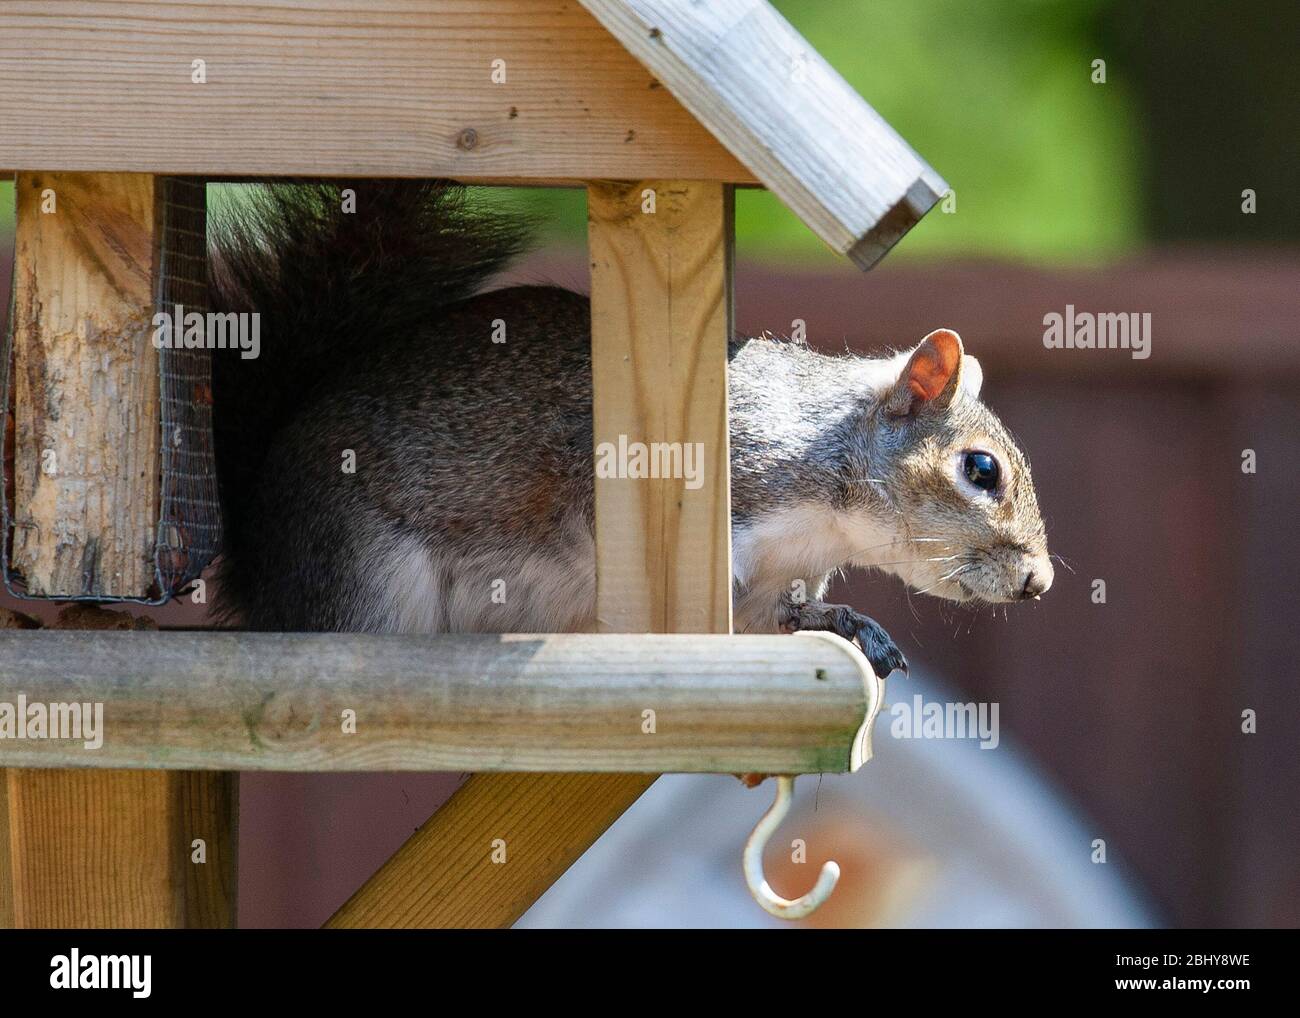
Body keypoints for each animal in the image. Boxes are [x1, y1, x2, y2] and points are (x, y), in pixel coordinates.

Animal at [208, 183, 1050, 681]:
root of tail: (256, 553)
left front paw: (844, 621)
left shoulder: (779, 578)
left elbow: (780, 616)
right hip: (358, 570)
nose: (1038, 582)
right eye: (981, 470)